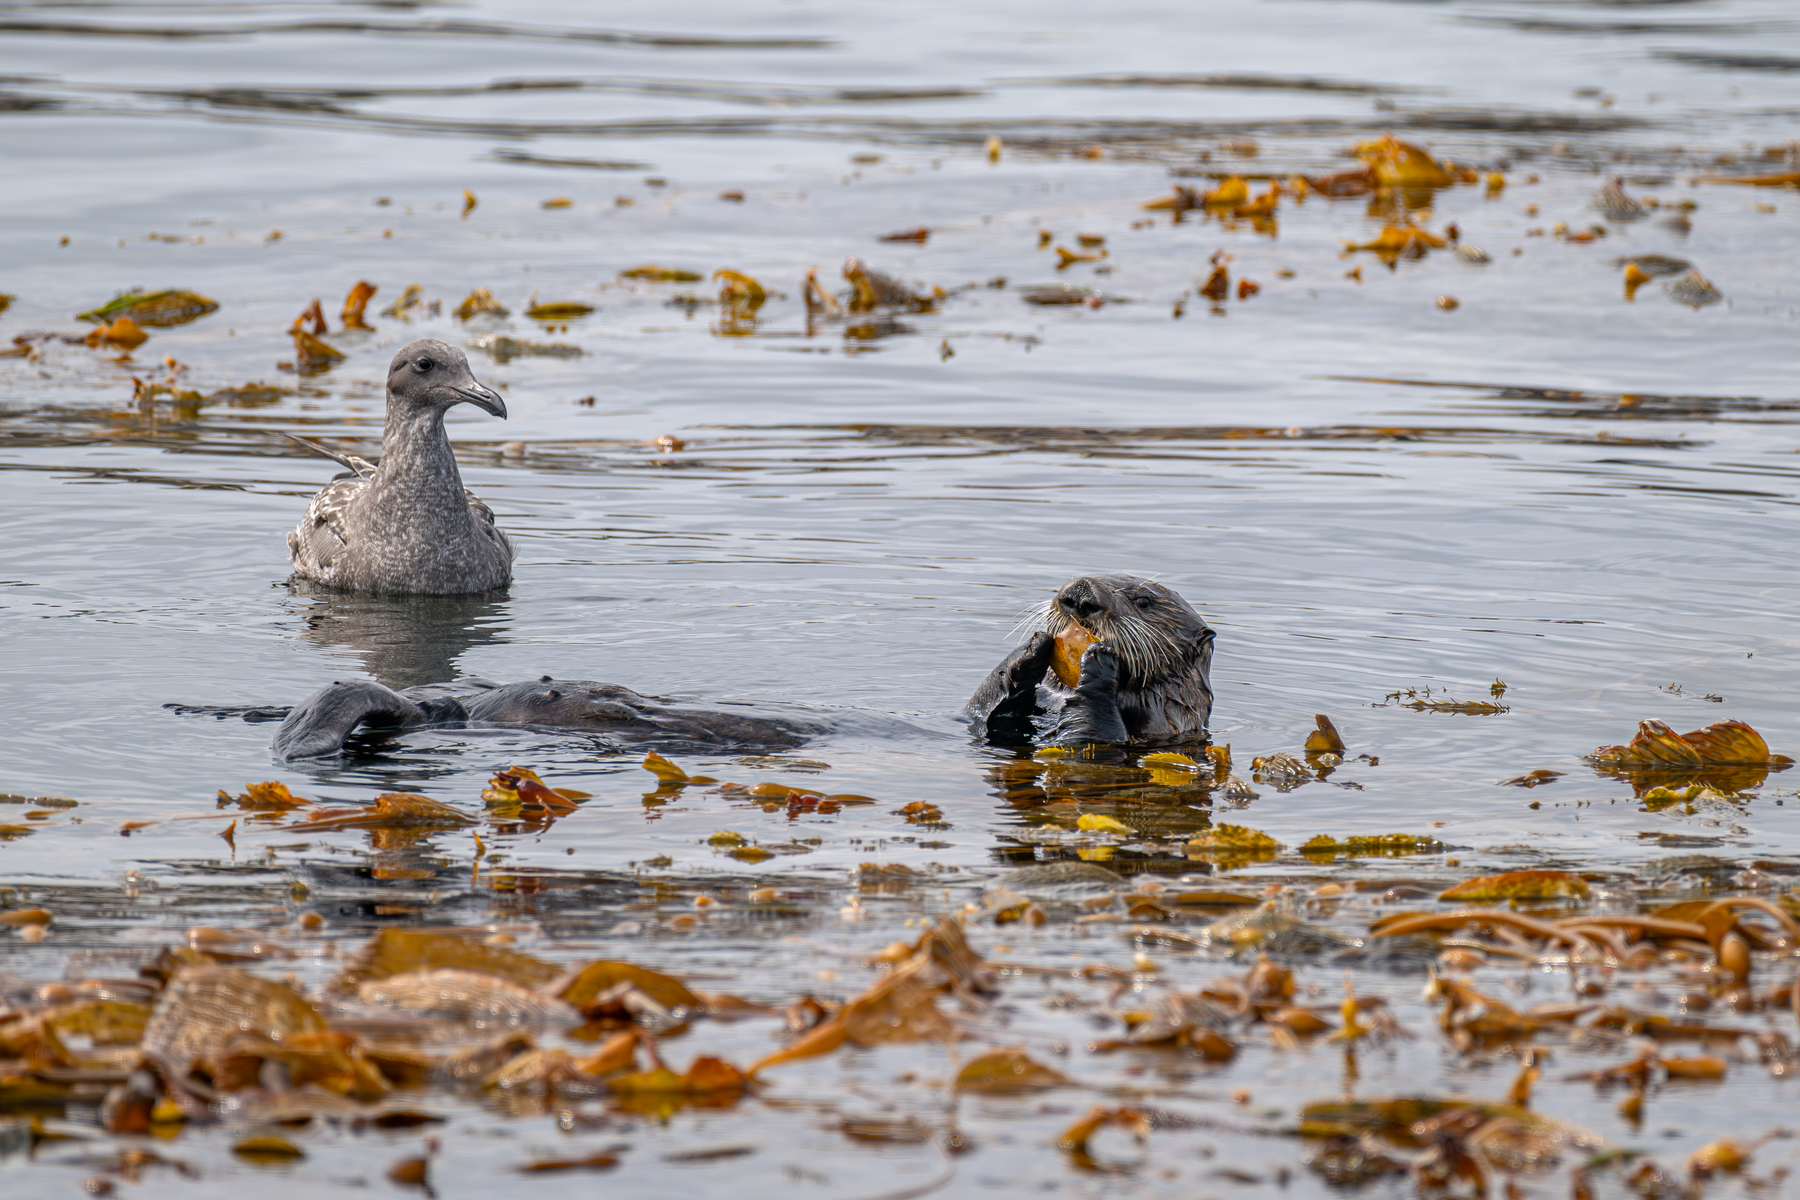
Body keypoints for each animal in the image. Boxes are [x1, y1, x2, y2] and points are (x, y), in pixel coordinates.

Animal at [964, 574, 1215, 747]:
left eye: (1144, 601)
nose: (1080, 595)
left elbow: (1090, 735)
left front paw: (1098, 659)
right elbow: (979, 710)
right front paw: (1030, 649)